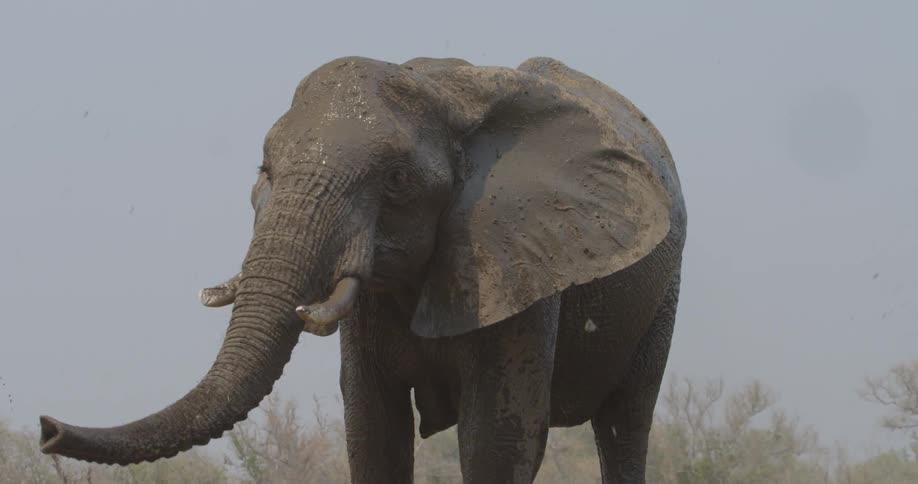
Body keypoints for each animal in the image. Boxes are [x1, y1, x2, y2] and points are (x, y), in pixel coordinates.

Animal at [39, 56, 687, 483]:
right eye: (264, 170)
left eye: (396, 181)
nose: (46, 427)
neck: (443, 88)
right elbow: (373, 430)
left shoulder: (513, 266)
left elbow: (499, 439)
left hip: (665, 290)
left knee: (624, 427)